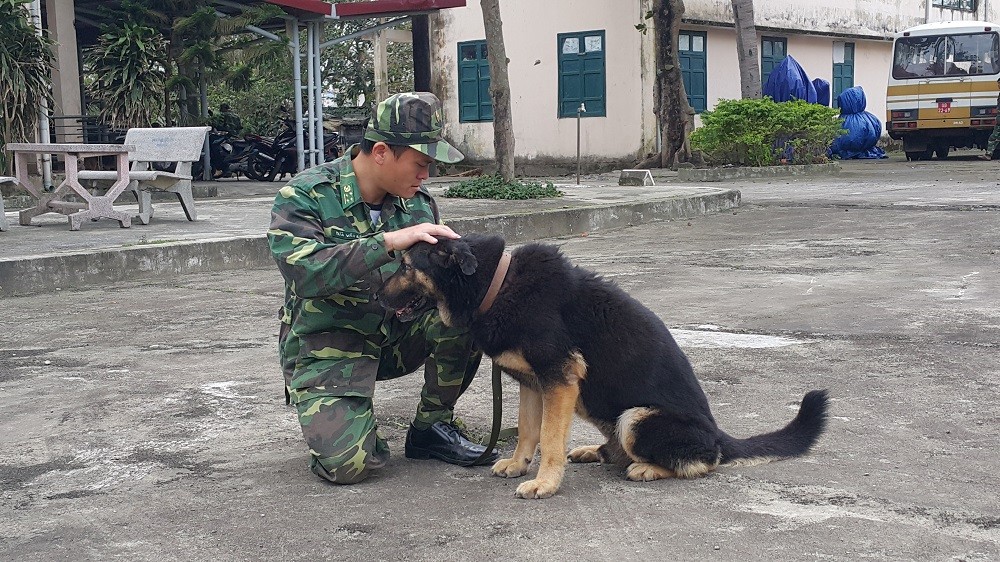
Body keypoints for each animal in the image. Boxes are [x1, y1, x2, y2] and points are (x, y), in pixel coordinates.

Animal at [376, 234, 828, 496]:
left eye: (406, 266)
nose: (375, 295)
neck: (495, 283)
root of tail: (719, 435)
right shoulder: (533, 383)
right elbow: (528, 430)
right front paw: (520, 465)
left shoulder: (559, 379)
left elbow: (549, 439)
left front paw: (545, 482)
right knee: (619, 451)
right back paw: (597, 451)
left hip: (636, 417)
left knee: (700, 463)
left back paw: (647, 468)